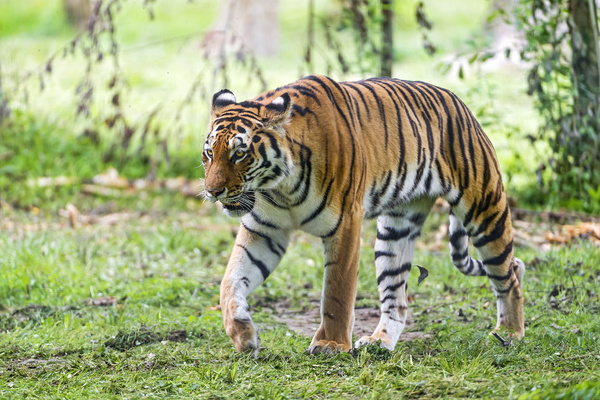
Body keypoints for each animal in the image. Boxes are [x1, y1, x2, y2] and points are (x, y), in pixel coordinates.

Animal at [203, 73, 524, 354]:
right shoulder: (264, 230)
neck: (281, 187)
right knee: (398, 301)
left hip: (485, 212)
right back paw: (378, 343)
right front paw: (243, 333)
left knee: (510, 274)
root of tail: (461, 104)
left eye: (239, 154)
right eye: (209, 153)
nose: (212, 191)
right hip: (395, 232)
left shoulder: (345, 224)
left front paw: (331, 344)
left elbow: (337, 293)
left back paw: (510, 332)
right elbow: (230, 281)